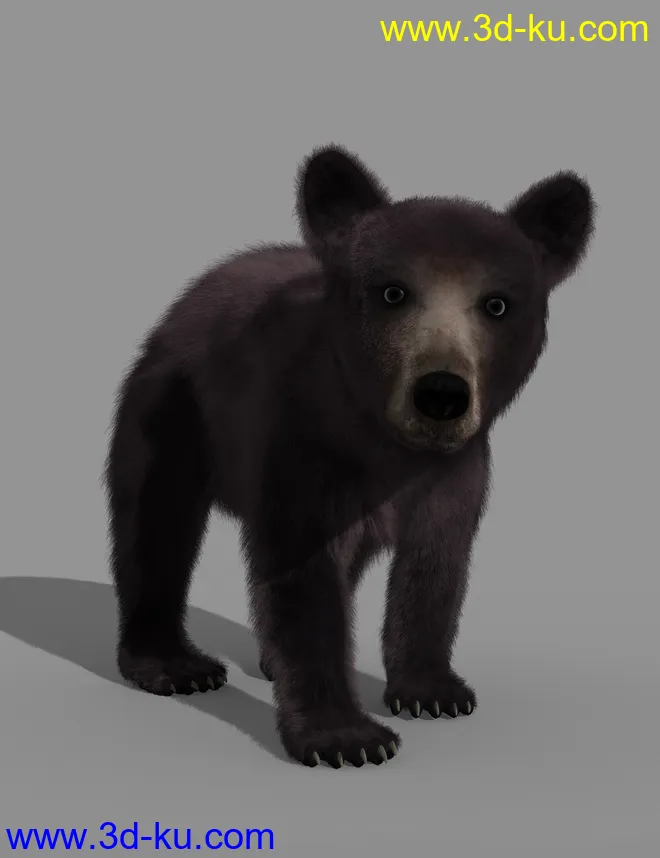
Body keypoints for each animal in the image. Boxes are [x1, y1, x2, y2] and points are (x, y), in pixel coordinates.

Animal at [104, 144, 595, 769]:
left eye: (497, 303)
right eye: (392, 291)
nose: (441, 394)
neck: (387, 444)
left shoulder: (454, 473)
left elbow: (434, 567)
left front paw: (433, 690)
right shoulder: (305, 445)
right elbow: (305, 576)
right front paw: (345, 737)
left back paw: (265, 658)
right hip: (174, 408)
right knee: (156, 522)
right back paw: (172, 663)